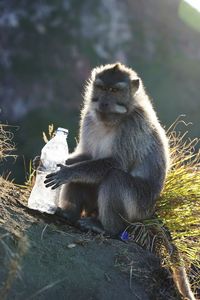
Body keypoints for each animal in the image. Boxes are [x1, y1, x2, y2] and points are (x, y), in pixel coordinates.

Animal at [44, 62, 170, 237]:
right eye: (102, 88)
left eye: (114, 90)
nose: (103, 103)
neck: (112, 120)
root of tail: (151, 213)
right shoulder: (88, 118)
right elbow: (87, 155)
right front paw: (62, 162)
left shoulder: (132, 126)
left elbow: (116, 163)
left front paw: (67, 171)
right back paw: (69, 214)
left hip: (138, 210)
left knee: (115, 178)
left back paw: (107, 228)